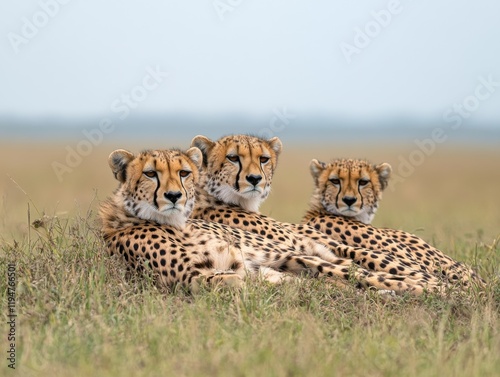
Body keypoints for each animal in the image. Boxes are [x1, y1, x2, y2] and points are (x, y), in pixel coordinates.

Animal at [99, 145, 432, 292]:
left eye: (183, 173)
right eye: (150, 174)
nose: (174, 196)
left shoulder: (275, 257)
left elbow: (350, 274)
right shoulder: (210, 278)